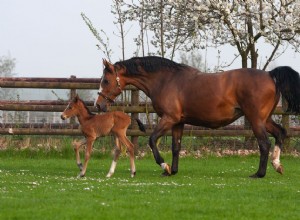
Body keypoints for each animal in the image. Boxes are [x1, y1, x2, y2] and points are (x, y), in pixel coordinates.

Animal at [94, 55, 300, 178]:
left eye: (106, 81)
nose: (98, 105)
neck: (166, 80)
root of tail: (270, 74)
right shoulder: (178, 123)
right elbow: (176, 147)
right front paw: (173, 170)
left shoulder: (169, 118)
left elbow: (152, 140)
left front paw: (164, 166)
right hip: (265, 119)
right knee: (280, 133)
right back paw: (277, 165)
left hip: (255, 119)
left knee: (264, 143)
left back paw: (259, 173)